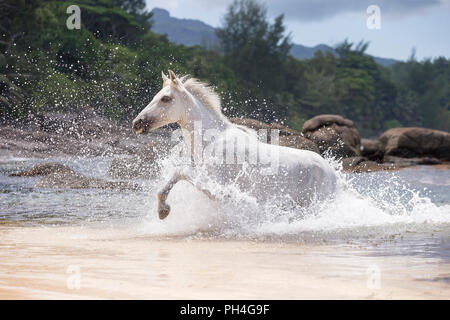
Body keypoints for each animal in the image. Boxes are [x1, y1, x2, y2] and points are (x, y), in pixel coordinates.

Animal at [132, 70, 336, 220]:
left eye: (165, 98)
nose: (137, 123)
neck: (212, 142)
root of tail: (332, 173)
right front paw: (162, 211)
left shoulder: (221, 191)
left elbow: (180, 172)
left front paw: (163, 211)